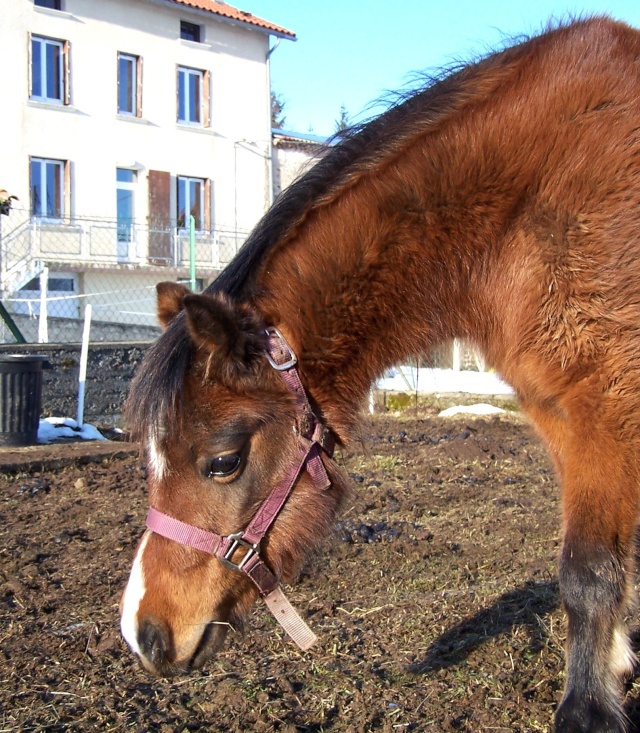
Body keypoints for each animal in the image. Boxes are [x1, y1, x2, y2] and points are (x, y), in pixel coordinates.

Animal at [122, 18, 640, 732]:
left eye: (223, 461)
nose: (145, 635)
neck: (536, 198)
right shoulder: (559, 417)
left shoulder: (604, 413)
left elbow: (589, 572)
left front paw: (589, 711)